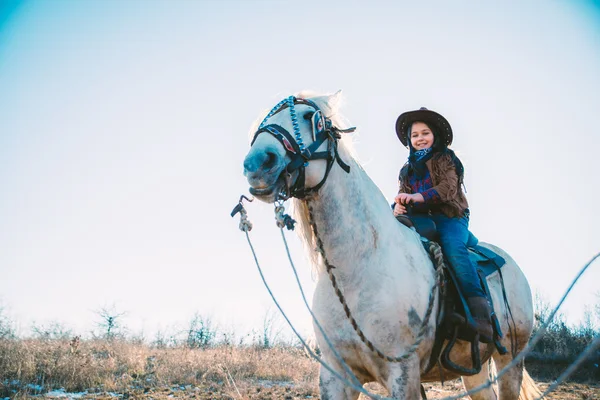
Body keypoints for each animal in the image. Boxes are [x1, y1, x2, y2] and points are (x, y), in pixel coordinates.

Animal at [241, 92, 540, 398]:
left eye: (309, 118)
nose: (258, 163)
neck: (359, 264)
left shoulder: (403, 374)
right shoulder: (336, 374)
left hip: (510, 360)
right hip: (474, 370)